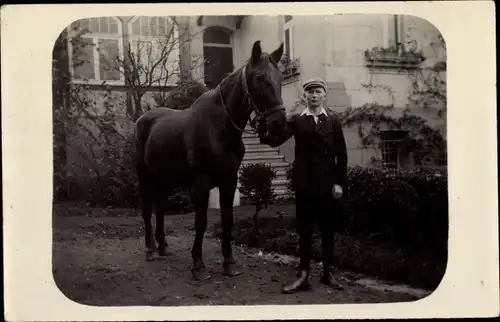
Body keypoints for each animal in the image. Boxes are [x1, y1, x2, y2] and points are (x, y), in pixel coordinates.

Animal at [135, 41, 288, 280]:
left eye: (280, 77)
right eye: (259, 77)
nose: (278, 124)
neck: (219, 128)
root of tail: (143, 119)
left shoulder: (230, 181)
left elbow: (227, 220)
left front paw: (229, 263)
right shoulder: (201, 183)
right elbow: (201, 222)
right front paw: (198, 265)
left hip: (166, 178)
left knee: (160, 208)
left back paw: (162, 247)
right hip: (145, 177)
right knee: (147, 209)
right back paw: (150, 250)